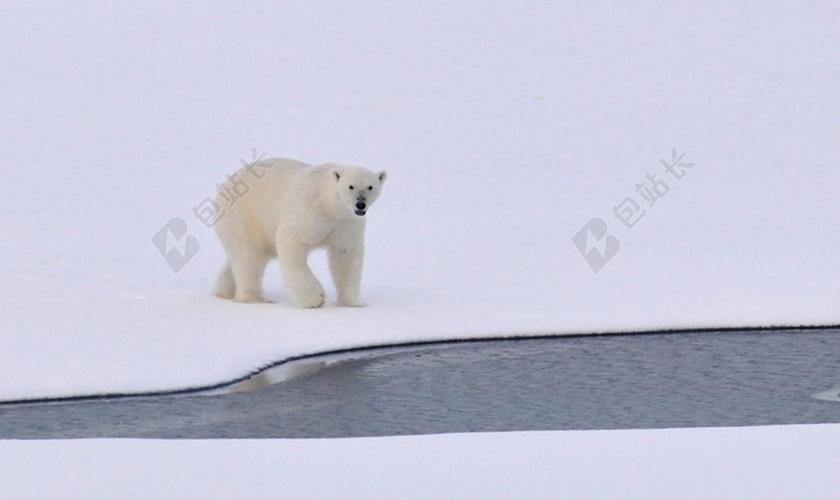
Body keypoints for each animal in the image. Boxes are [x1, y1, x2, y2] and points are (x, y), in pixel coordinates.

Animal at [213, 158, 386, 308]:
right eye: (351, 186)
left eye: (370, 186)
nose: (360, 204)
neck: (329, 204)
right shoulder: (310, 209)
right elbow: (292, 239)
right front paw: (315, 298)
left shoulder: (347, 221)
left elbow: (345, 254)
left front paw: (352, 303)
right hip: (244, 218)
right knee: (249, 257)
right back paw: (255, 299)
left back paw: (224, 291)